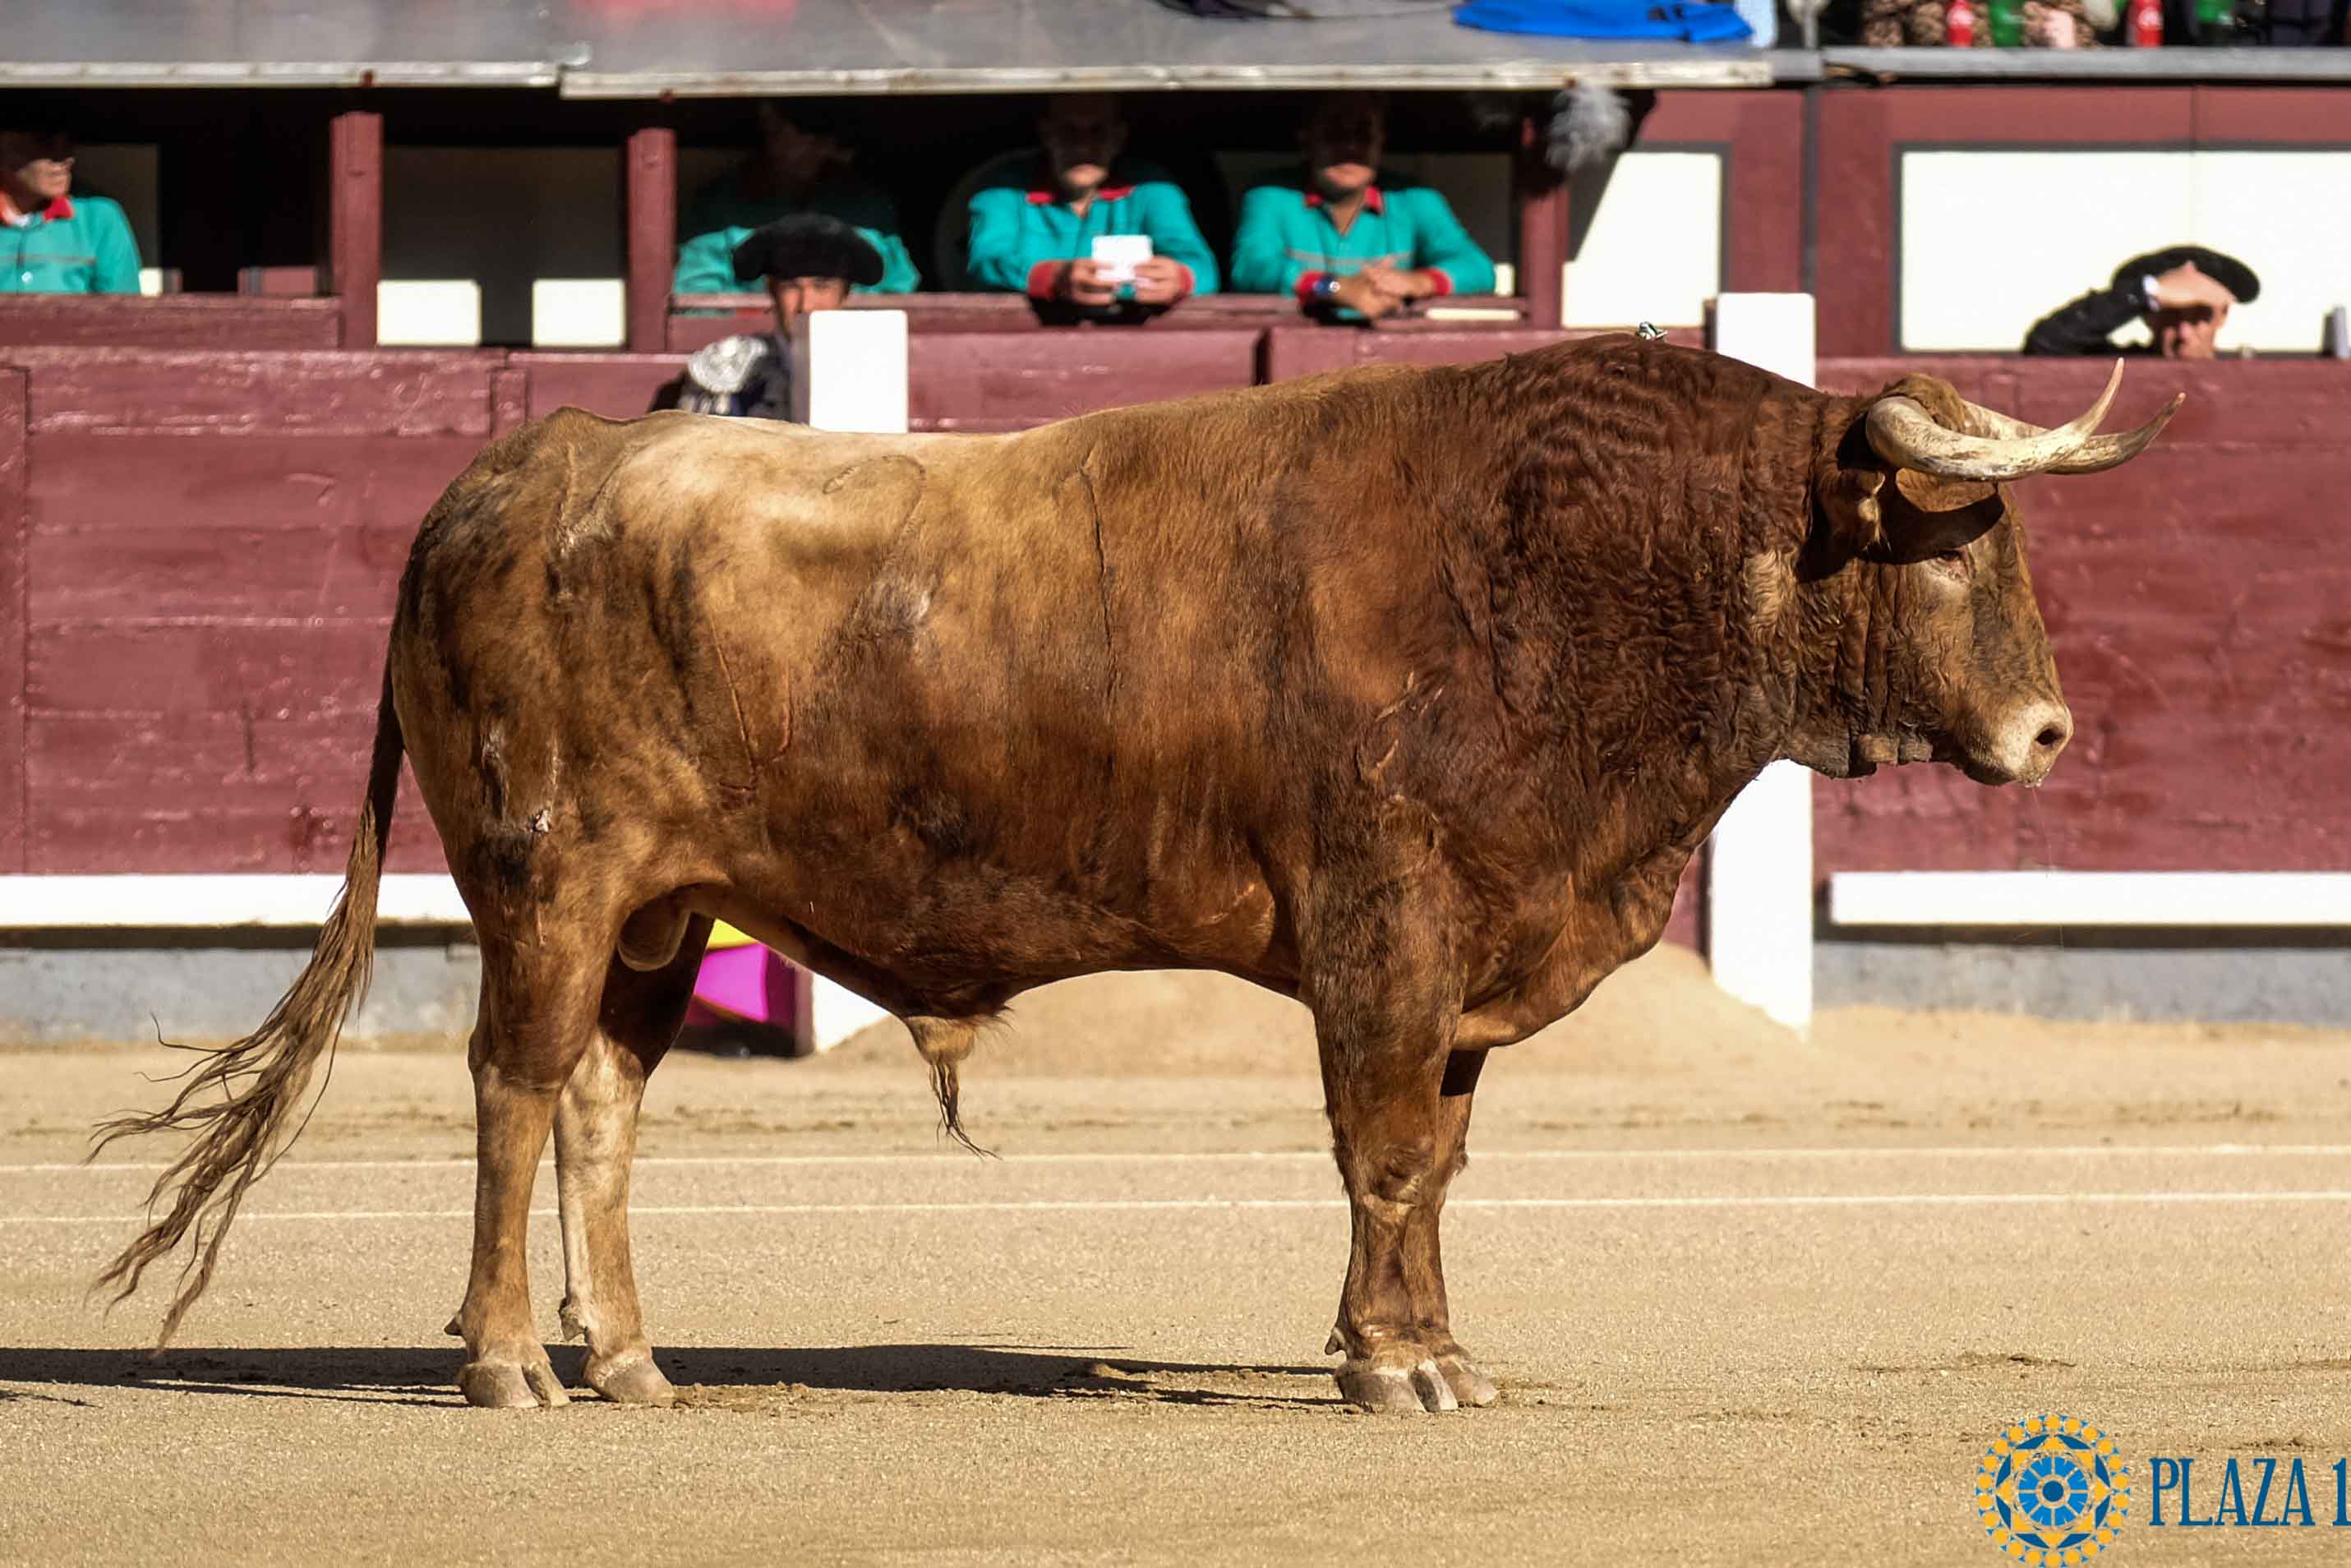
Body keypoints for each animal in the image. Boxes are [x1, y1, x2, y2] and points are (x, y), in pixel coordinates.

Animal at [96, 338, 2182, 1419]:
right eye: (1949, 545)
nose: (2043, 737)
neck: (1566, 567)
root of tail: (518, 471)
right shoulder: (1383, 935)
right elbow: (1381, 1152)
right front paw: (1389, 1370)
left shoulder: (1465, 961)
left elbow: (1432, 1163)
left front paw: (1425, 1349)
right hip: (549, 878)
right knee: (513, 1089)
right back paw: (506, 1366)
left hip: (659, 912)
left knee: (600, 1103)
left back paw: (628, 1363)